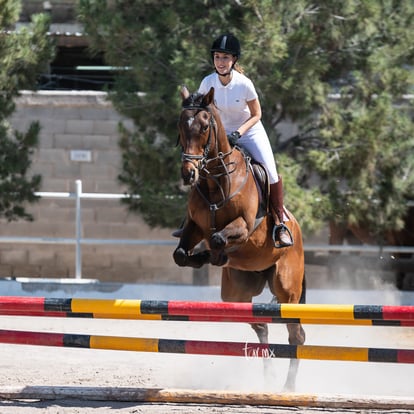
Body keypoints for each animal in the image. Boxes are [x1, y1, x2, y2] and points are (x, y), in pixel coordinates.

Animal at [173, 85, 306, 390]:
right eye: (181, 126)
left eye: (205, 126)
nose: (189, 174)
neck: (215, 182)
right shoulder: (194, 227)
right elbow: (181, 254)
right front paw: (201, 257)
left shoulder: (243, 228)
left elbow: (219, 239)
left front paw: (214, 254)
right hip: (238, 292)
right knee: (261, 324)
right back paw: (269, 379)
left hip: (286, 288)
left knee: (296, 335)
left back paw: (288, 387)